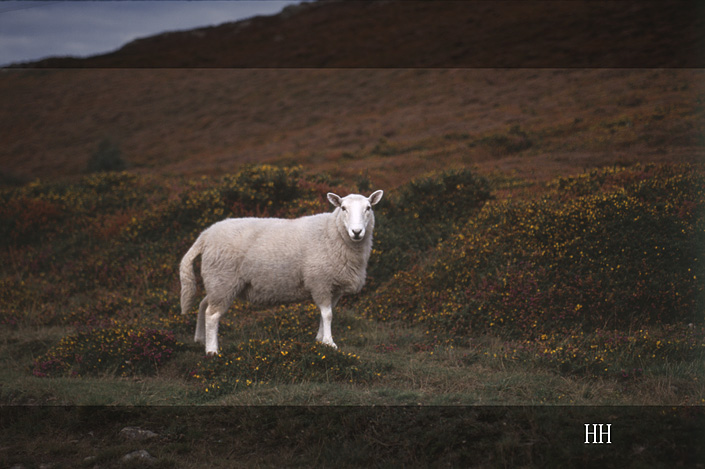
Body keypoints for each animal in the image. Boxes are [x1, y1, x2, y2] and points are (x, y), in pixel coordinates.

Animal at [179, 188, 382, 352]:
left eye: (368, 208)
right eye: (343, 208)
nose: (357, 232)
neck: (332, 232)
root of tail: (205, 235)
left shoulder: (335, 286)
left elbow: (326, 313)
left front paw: (320, 340)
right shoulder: (320, 281)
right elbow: (328, 314)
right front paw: (329, 343)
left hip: (217, 282)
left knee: (203, 305)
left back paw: (200, 339)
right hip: (223, 280)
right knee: (212, 315)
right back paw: (212, 350)